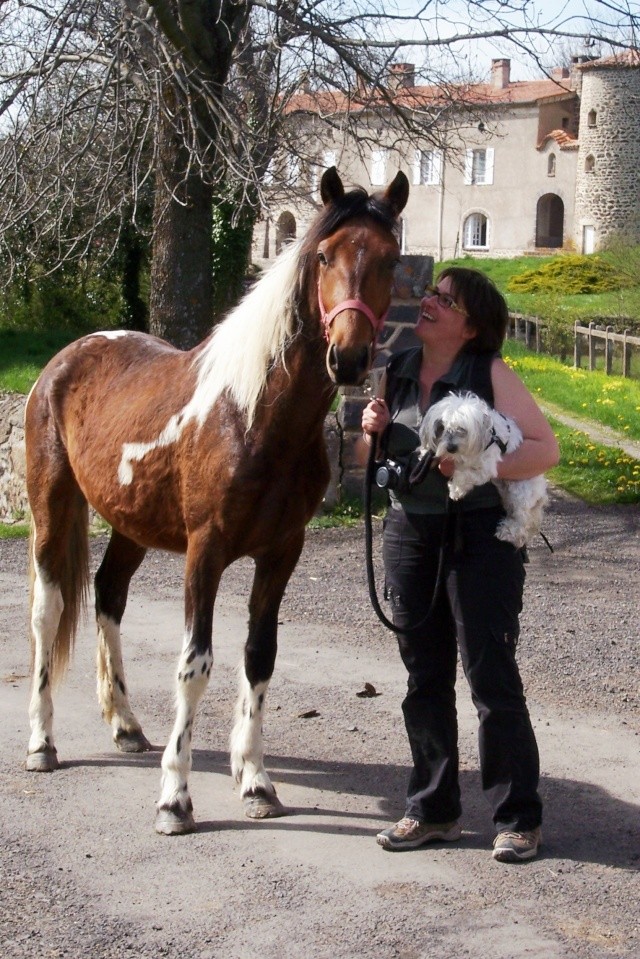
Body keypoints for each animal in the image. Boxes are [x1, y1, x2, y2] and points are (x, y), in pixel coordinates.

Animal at [23, 165, 410, 832]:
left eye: (389, 259)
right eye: (324, 255)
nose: (349, 356)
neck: (254, 418)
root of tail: (68, 357)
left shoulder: (281, 554)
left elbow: (259, 657)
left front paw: (255, 782)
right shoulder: (204, 553)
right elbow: (194, 665)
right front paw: (175, 799)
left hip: (130, 525)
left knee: (108, 597)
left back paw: (126, 725)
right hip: (52, 506)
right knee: (48, 613)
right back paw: (41, 744)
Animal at [420, 390, 552, 548]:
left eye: (462, 429)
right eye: (441, 428)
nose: (451, 448)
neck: (488, 433)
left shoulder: (485, 467)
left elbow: (464, 474)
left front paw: (456, 489)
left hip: (520, 492)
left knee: (521, 519)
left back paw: (509, 531)